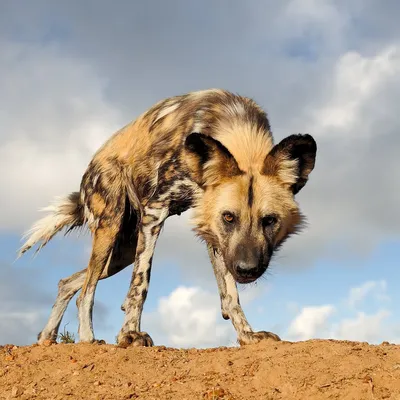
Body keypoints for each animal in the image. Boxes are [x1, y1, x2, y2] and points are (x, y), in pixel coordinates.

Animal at [18, 88, 318, 346]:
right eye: (229, 217)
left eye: (269, 220)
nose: (247, 269)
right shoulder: (156, 211)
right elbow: (140, 285)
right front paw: (130, 335)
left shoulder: (215, 236)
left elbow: (230, 296)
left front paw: (248, 336)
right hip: (111, 228)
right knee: (86, 292)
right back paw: (88, 340)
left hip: (122, 252)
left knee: (68, 283)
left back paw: (47, 337)